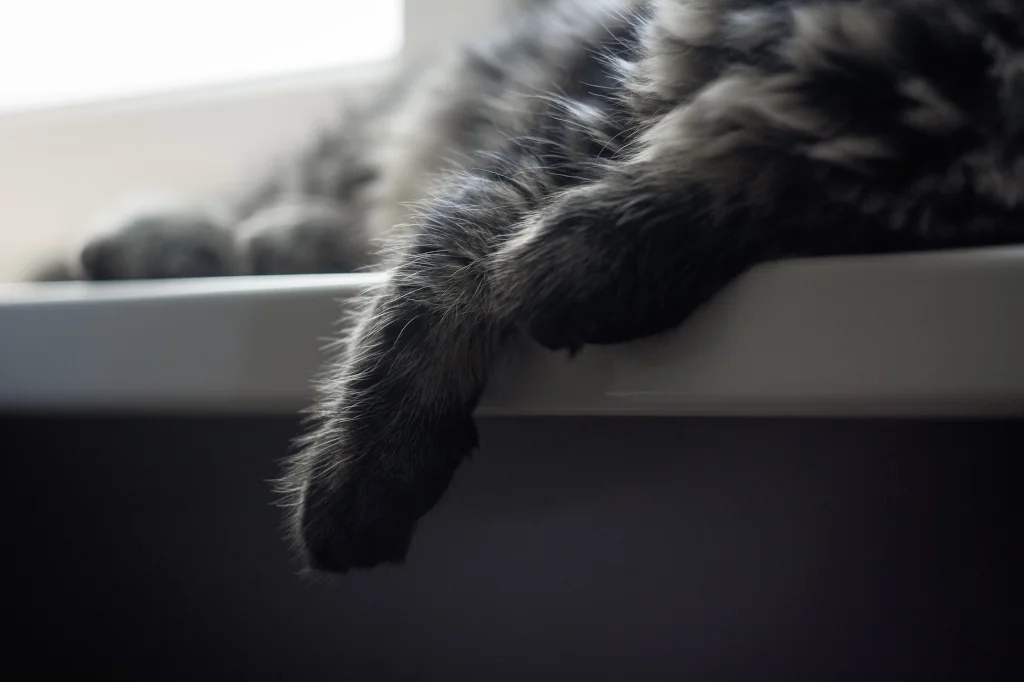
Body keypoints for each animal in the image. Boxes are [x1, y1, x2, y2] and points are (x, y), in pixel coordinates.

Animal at [48, 0, 1024, 573]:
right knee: (280, 192)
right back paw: (153, 243)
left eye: (875, 222)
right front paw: (365, 469)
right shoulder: (578, 121)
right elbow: (435, 271)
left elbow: (704, 195)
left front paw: (575, 264)